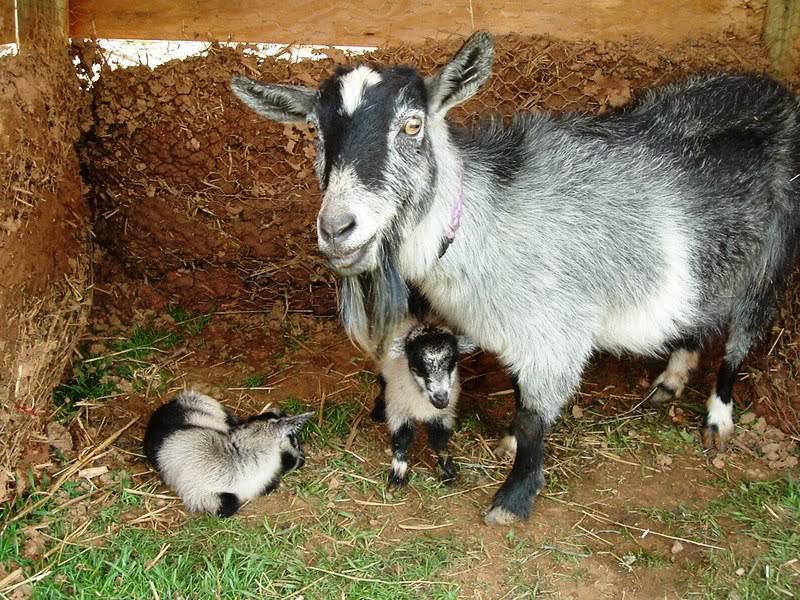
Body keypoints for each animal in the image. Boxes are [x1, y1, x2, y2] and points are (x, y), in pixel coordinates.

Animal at [370, 322, 476, 486]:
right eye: (415, 368)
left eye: (453, 364)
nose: (441, 398)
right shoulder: (399, 408)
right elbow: (402, 438)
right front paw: (398, 473)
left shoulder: (443, 414)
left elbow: (440, 441)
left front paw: (447, 470)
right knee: (382, 380)